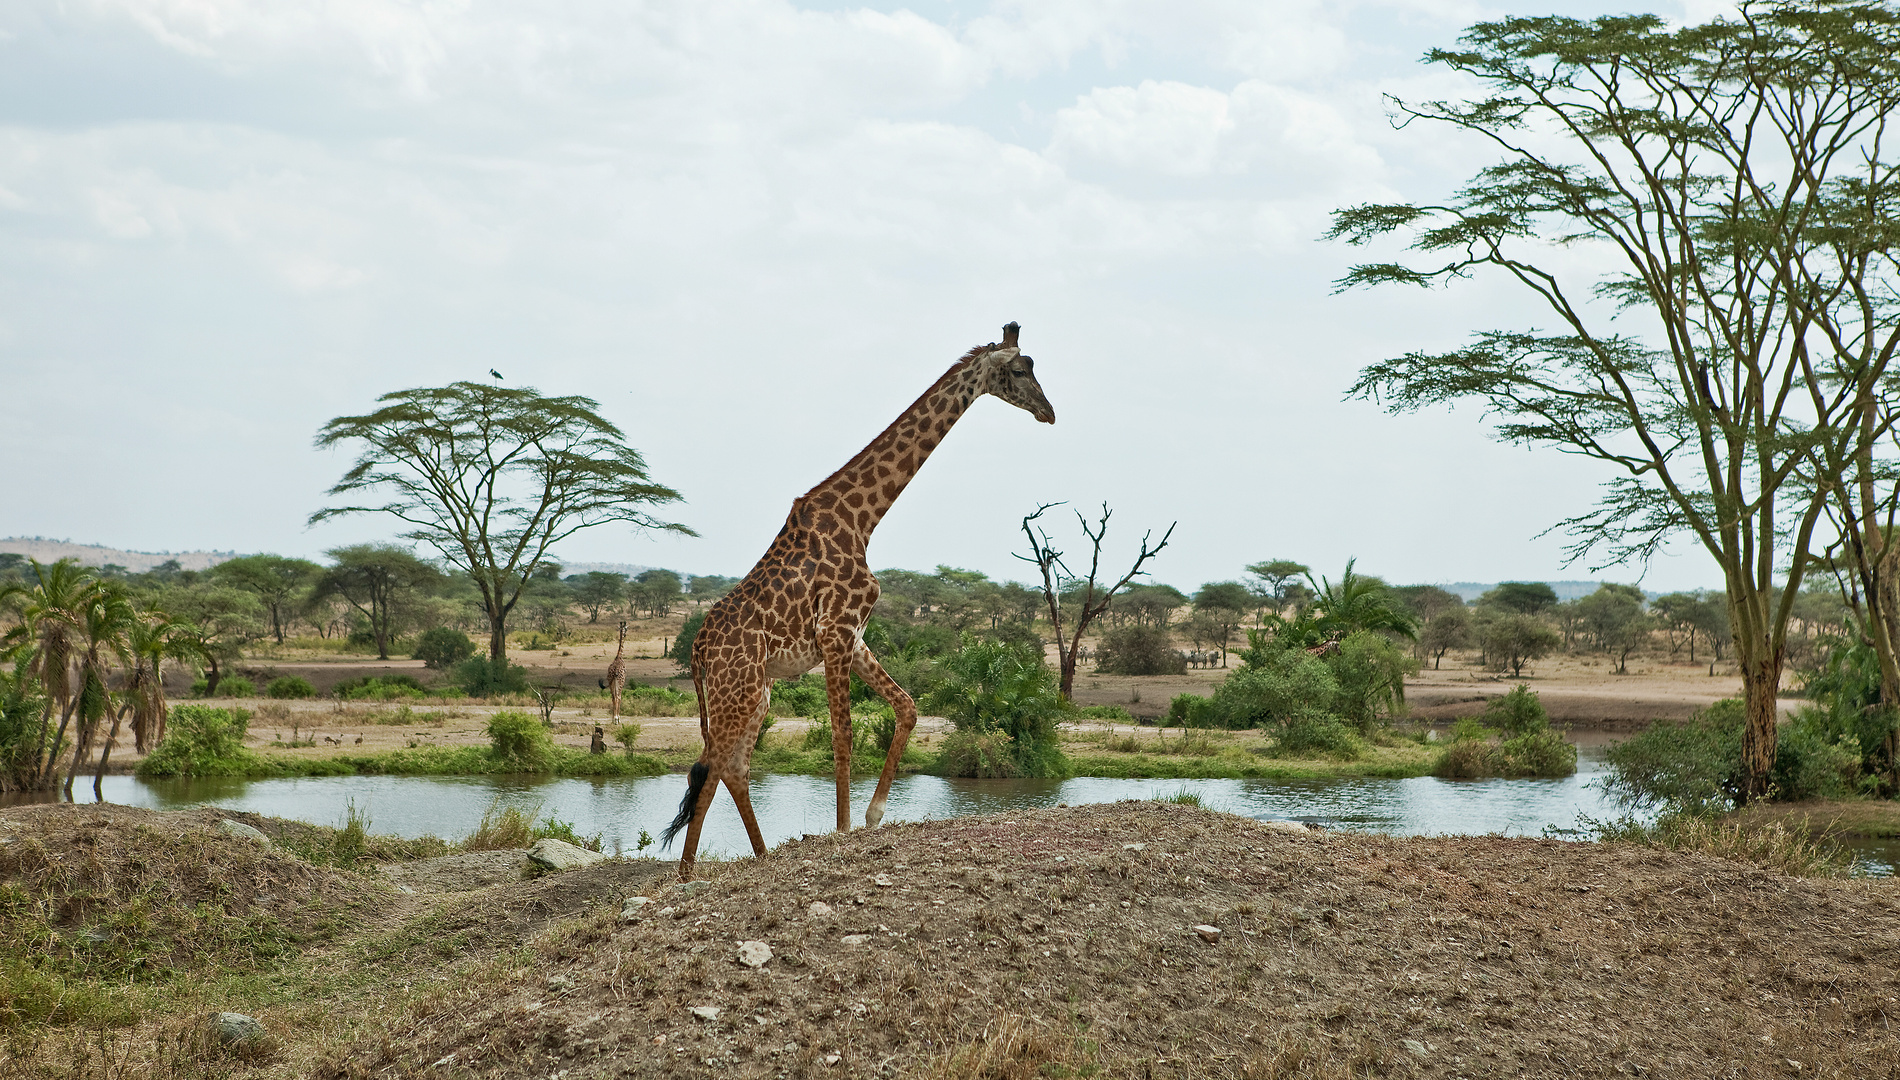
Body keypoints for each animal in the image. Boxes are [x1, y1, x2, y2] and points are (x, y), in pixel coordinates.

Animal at [661, 321, 1056, 878]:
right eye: (1020, 370)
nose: (1049, 411)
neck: (863, 520)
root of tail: (696, 650)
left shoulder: (855, 634)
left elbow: (908, 707)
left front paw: (873, 814)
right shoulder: (836, 631)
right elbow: (842, 736)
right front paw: (845, 828)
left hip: (753, 692)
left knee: (731, 766)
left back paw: (759, 855)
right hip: (737, 690)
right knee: (715, 763)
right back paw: (688, 874)